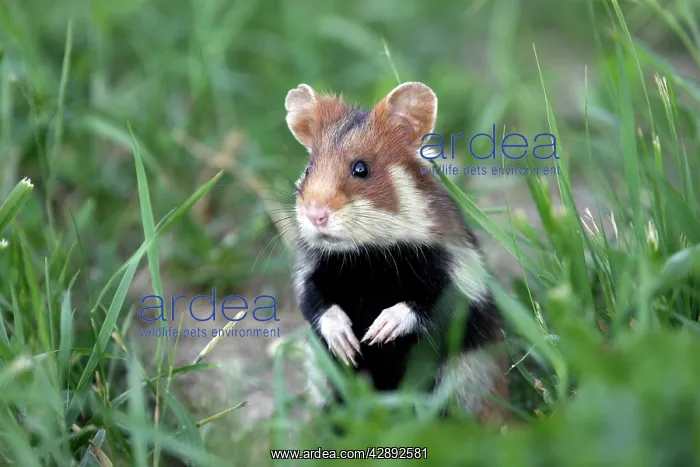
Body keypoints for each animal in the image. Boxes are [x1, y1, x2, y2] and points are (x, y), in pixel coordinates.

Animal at [284, 81, 509, 423]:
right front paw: (349, 344)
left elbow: (431, 303)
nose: (315, 215)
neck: (367, 254)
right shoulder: (311, 271)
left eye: (361, 168)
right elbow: (316, 303)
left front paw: (377, 333)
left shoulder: (458, 272)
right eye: (308, 169)